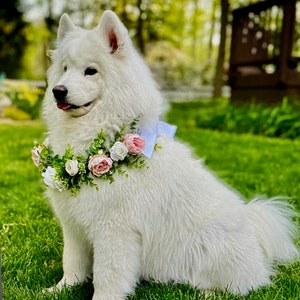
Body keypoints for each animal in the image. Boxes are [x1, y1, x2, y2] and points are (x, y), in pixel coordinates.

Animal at [38, 9, 298, 300]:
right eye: (65, 69)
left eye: (90, 71)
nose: (58, 90)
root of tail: (256, 233)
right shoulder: (73, 225)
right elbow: (72, 262)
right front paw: (60, 289)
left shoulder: (114, 230)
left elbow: (108, 274)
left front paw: (102, 297)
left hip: (211, 244)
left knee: (240, 285)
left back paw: (208, 291)